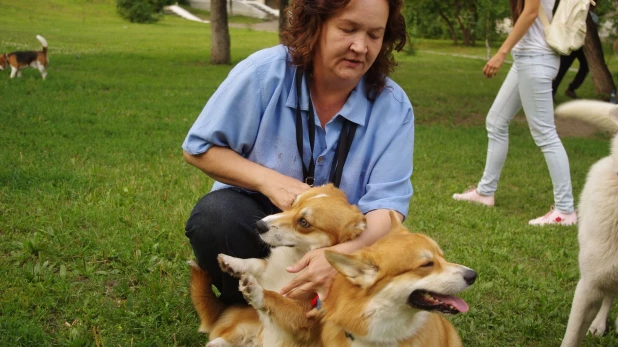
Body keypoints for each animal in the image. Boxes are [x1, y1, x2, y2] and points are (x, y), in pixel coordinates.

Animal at [188, 184, 366, 346]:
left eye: (304, 222)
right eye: (293, 203)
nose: (259, 225)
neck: (294, 260)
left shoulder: (303, 316)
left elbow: (275, 298)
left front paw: (256, 290)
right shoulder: (268, 268)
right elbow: (256, 263)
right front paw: (231, 262)